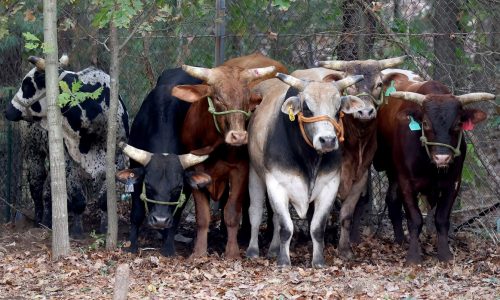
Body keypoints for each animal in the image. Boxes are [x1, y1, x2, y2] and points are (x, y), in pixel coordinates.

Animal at [4, 55, 129, 234]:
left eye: (27, 85)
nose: (8, 110)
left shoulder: (118, 160)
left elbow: (104, 200)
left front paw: (105, 227)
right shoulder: (68, 160)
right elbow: (78, 198)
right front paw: (77, 230)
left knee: (49, 188)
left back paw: (50, 219)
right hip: (33, 151)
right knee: (36, 183)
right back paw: (40, 220)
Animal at [173, 51, 288, 258]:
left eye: (246, 99)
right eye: (218, 98)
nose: (239, 136)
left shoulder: (240, 170)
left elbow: (232, 212)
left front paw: (232, 251)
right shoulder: (193, 171)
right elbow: (203, 216)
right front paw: (199, 251)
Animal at [245, 71, 364, 268]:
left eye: (338, 110)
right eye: (307, 108)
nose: (328, 140)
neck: (309, 160)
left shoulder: (330, 185)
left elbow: (317, 227)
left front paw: (318, 261)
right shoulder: (276, 183)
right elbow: (286, 227)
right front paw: (284, 261)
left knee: (275, 218)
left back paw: (274, 249)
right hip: (255, 174)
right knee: (255, 212)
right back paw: (253, 250)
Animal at [374, 71, 494, 264]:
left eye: (458, 124)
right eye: (425, 123)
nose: (442, 157)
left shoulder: (453, 183)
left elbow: (442, 218)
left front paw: (445, 254)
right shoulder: (406, 182)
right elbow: (415, 219)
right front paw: (413, 256)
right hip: (391, 170)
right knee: (393, 200)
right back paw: (400, 240)